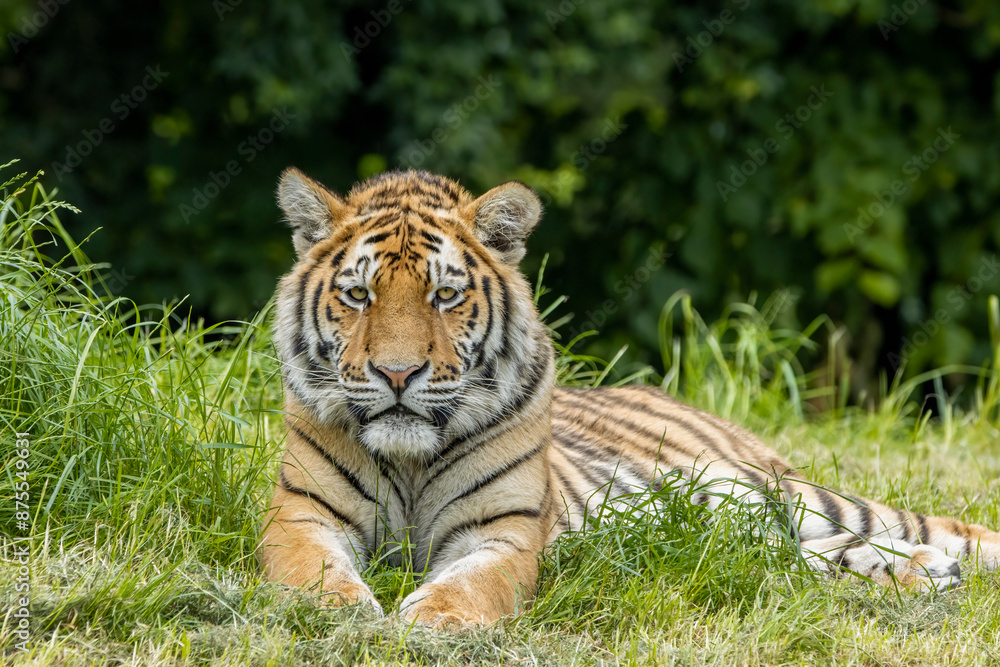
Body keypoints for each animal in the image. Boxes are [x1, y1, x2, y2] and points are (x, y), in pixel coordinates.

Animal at [258, 167, 1000, 628]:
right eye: (359, 294)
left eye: (445, 295)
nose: (398, 374)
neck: (410, 461)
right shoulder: (301, 515)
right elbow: (308, 571)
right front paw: (334, 612)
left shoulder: (502, 531)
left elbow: (473, 581)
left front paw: (436, 616)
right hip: (737, 528)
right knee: (805, 555)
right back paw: (924, 574)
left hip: (791, 492)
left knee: (938, 527)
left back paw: (940, 562)